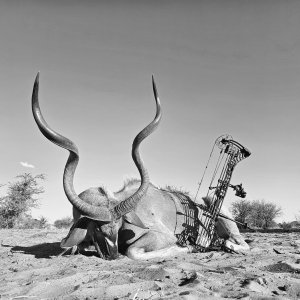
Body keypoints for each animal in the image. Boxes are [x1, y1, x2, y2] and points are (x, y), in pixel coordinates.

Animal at [32, 73, 248, 260]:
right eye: (99, 228)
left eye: (119, 224)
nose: (113, 255)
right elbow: (73, 247)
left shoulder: (162, 235)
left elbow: (134, 251)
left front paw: (186, 247)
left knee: (241, 243)